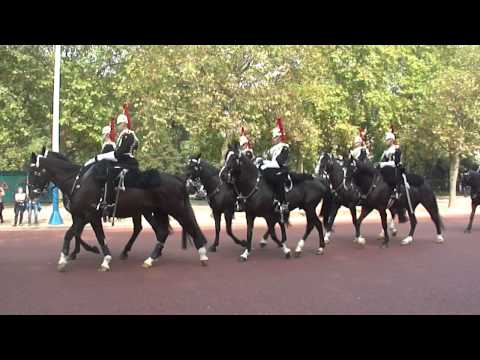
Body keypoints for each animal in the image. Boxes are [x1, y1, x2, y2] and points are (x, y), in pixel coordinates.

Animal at [28, 148, 208, 270]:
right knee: (161, 232)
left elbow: (83, 235)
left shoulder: (89, 215)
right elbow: (79, 234)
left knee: (189, 226)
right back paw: (150, 258)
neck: (78, 182)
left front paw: (96, 258)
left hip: (174, 209)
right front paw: (72, 256)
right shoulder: (83, 216)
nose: (31, 194)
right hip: (157, 211)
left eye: (34, 171)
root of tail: (178, 179)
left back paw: (202, 255)